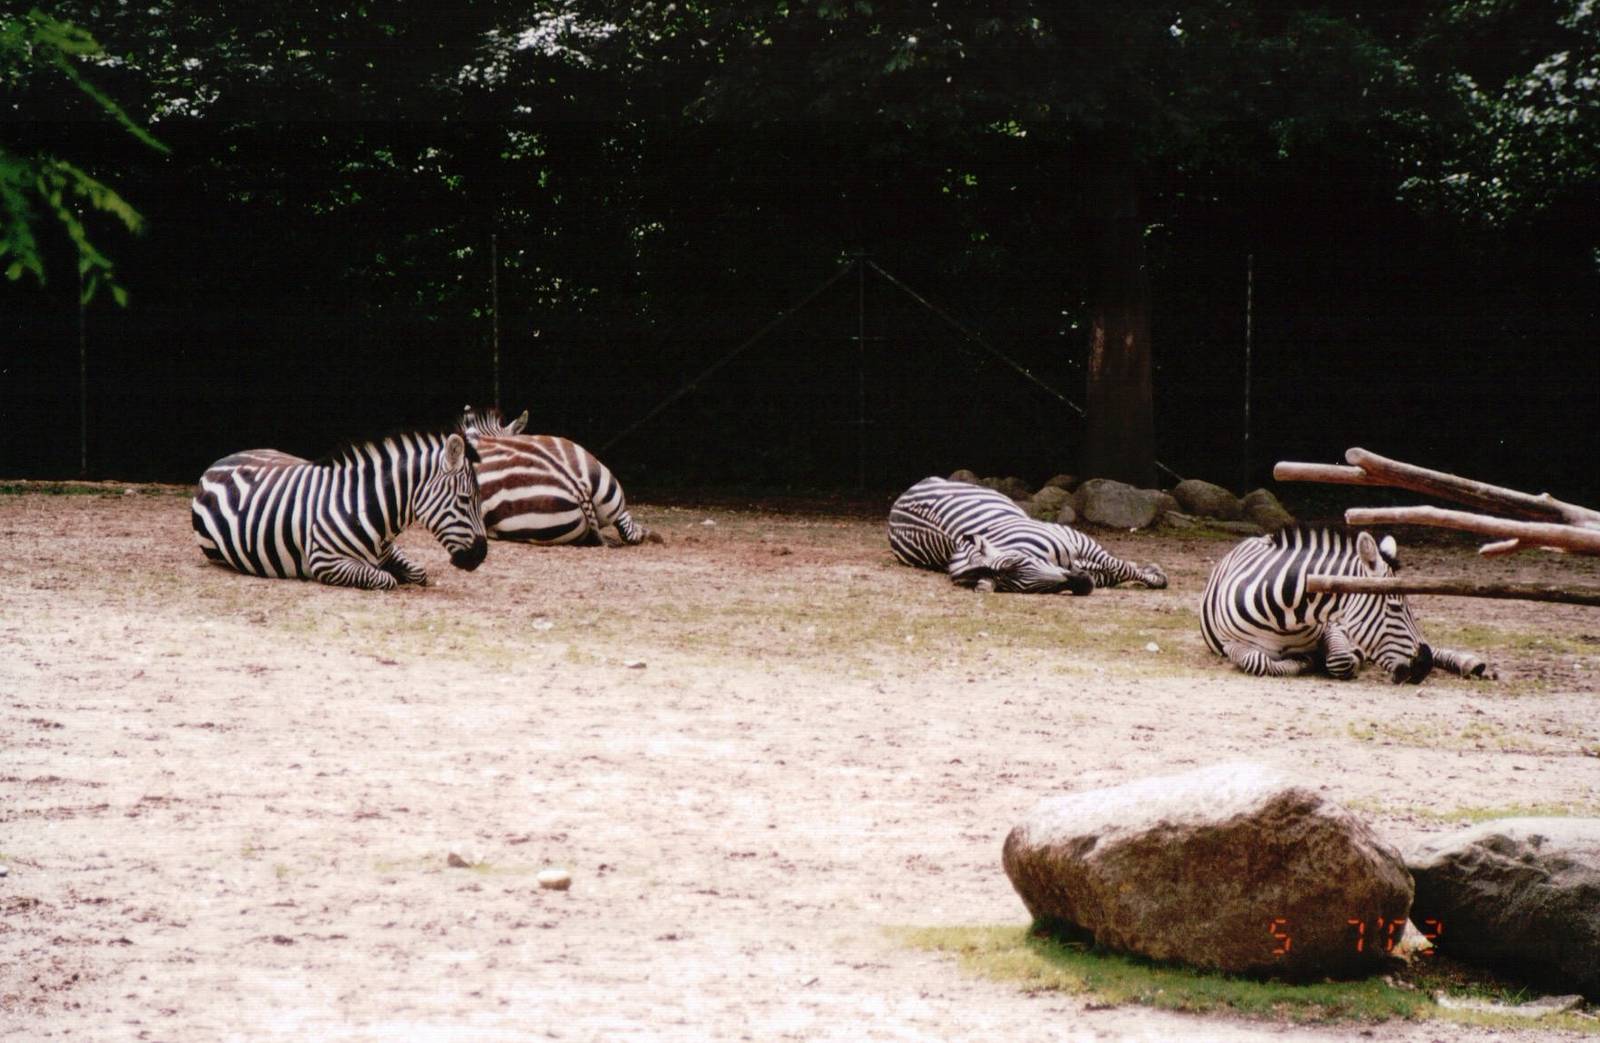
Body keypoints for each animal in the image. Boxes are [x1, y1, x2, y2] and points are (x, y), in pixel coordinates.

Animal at [190, 430, 487, 589]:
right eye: (464, 499)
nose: (481, 555)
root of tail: (217, 463)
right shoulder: (326, 562)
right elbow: (385, 579)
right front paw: (394, 577)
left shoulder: (389, 551)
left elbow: (419, 572)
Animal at [888, 476, 1168, 594]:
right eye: (1031, 590)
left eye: (1019, 561)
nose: (1082, 584)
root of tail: (898, 501)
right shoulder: (1086, 563)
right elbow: (1115, 571)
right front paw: (1153, 574)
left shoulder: (1076, 538)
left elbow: (1120, 567)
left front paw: (1156, 576)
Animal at [1200, 526, 1493, 683]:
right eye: (1395, 607)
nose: (1424, 665)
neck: (1286, 616)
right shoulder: (1231, 644)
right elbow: (1258, 661)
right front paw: (1302, 663)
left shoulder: (1334, 626)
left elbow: (1340, 659)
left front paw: (1326, 659)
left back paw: (1470, 663)